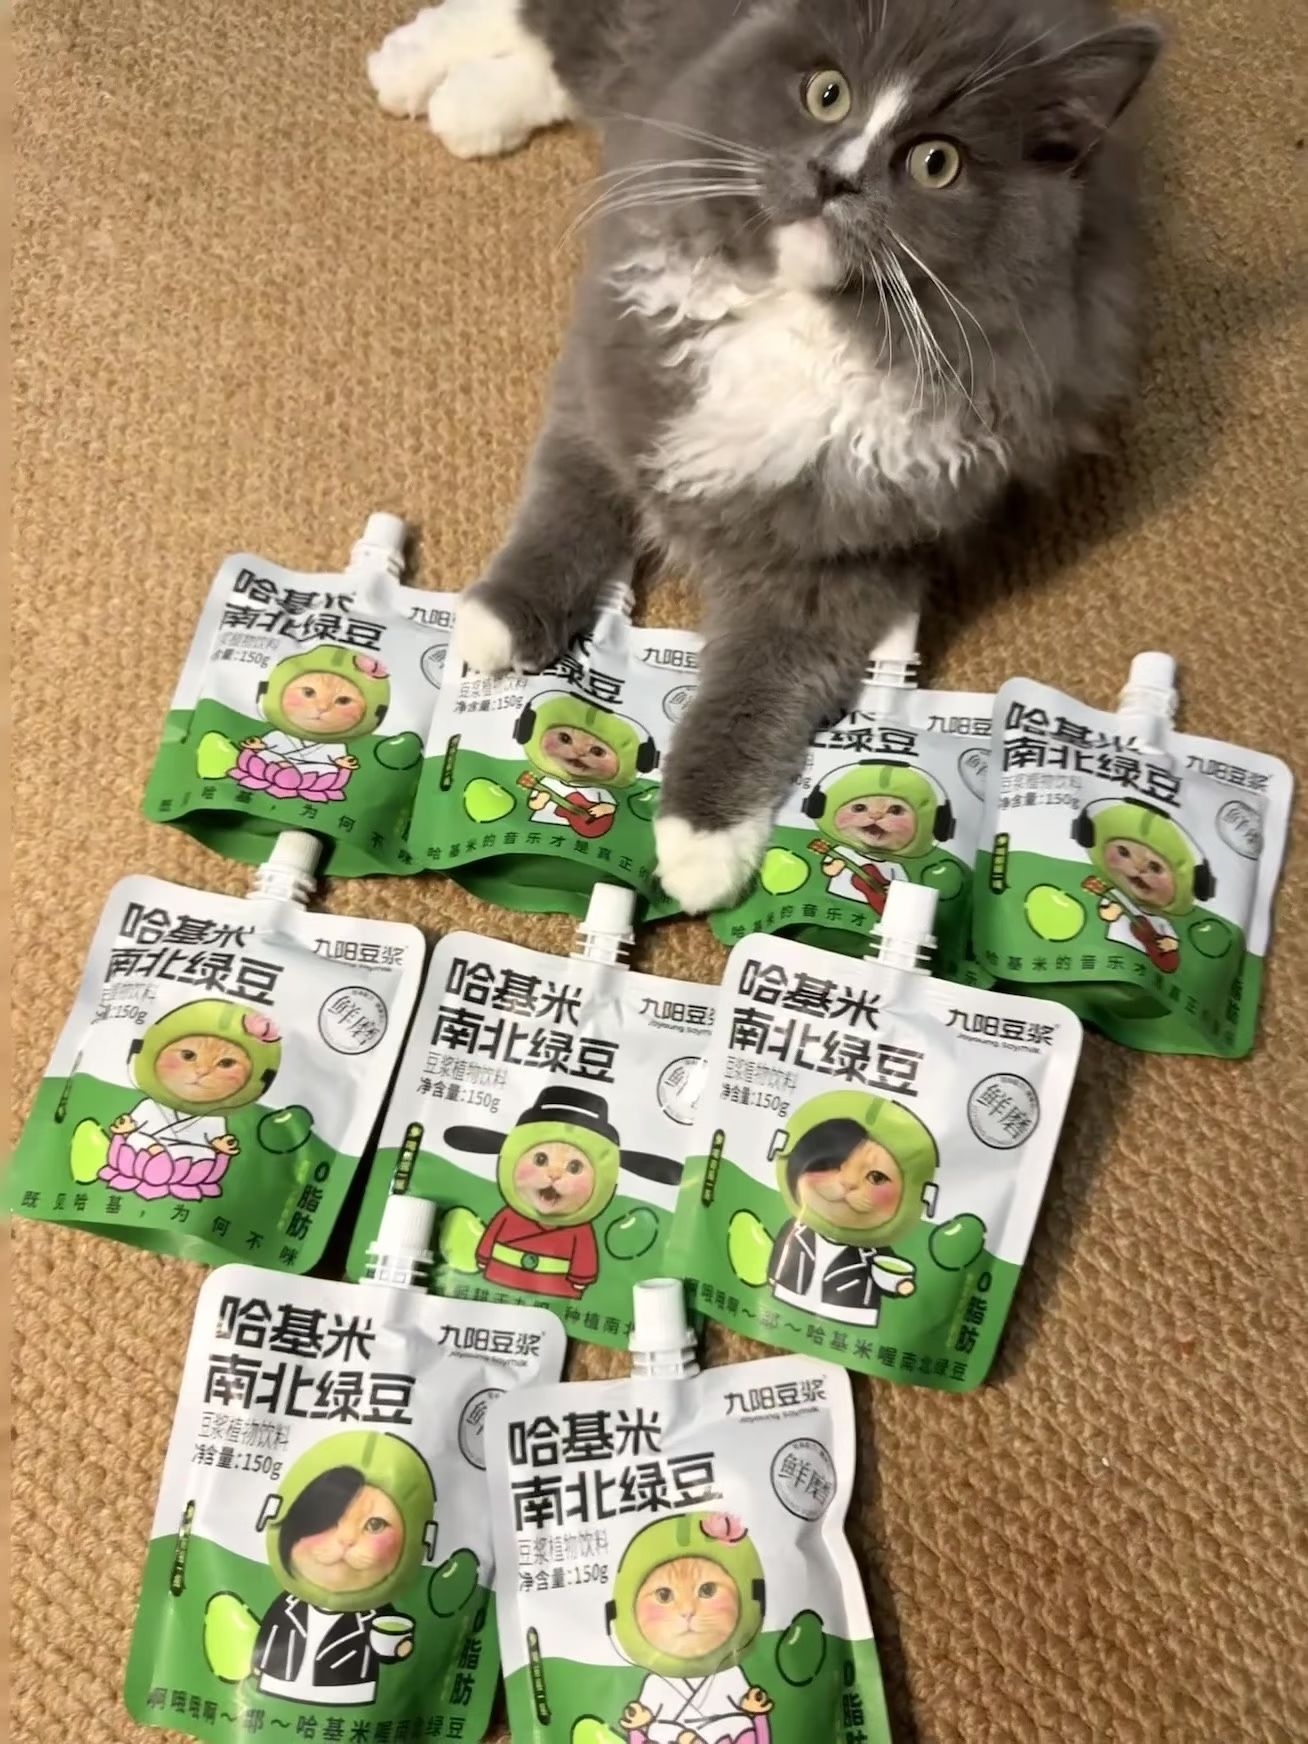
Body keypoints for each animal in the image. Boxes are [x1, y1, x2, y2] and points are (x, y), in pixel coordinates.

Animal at [370, 0, 1162, 911]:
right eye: (828, 95)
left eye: (936, 163)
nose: (834, 176)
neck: (802, 323)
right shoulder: (619, 382)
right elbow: (566, 508)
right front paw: (496, 621)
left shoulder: (846, 561)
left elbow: (759, 688)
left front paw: (701, 844)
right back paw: (413, 69)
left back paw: (466, 104)